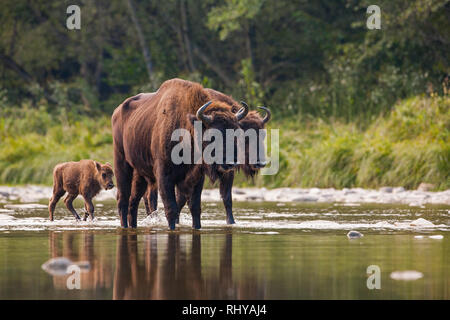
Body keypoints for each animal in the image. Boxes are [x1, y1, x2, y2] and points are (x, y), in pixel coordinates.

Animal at [111, 80, 248, 230]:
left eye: (236, 132)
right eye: (212, 136)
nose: (231, 162)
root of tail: (117, 112)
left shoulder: (196, 178)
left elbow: (195, 208)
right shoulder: (164, 177)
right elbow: (171, 208)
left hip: (140, 173)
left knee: (133, 201)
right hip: (121, 162)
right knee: (123, 199)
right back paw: (124, 226)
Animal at [144, 88, 270, 225]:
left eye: (263, 135)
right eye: (246, 136)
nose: (260, 162)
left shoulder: (227, 172)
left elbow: (227, 198)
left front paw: (231, 222)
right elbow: (181, 198)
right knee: (151, 195)